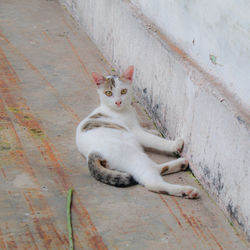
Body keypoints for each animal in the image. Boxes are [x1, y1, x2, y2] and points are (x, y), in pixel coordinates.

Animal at [75, 65, 200, 198]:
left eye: (123, 91)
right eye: (108, 93)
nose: (118, 102)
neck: (123, 110)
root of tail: (92, 154)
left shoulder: (136, 125)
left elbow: (147, 131)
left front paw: (153, 131)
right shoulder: (135, 131)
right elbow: (154, 140)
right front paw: (174, 144)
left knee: (154, 169)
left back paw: (181, 164)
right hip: (133, 155)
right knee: (151, 182)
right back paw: (185, 190)